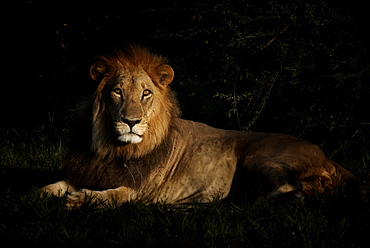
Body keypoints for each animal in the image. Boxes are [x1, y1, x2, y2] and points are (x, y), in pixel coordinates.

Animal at [42, 45, 360, 209]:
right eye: (117, 92)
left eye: (146, 93)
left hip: (259, 157)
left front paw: (79, 199)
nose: (131, 122)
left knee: (300, 187)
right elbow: (51, 186)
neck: (113, 149)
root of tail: (324, 154)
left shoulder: (143, 192)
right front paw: (44, 193)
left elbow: (114, 196)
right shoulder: (87, 170)